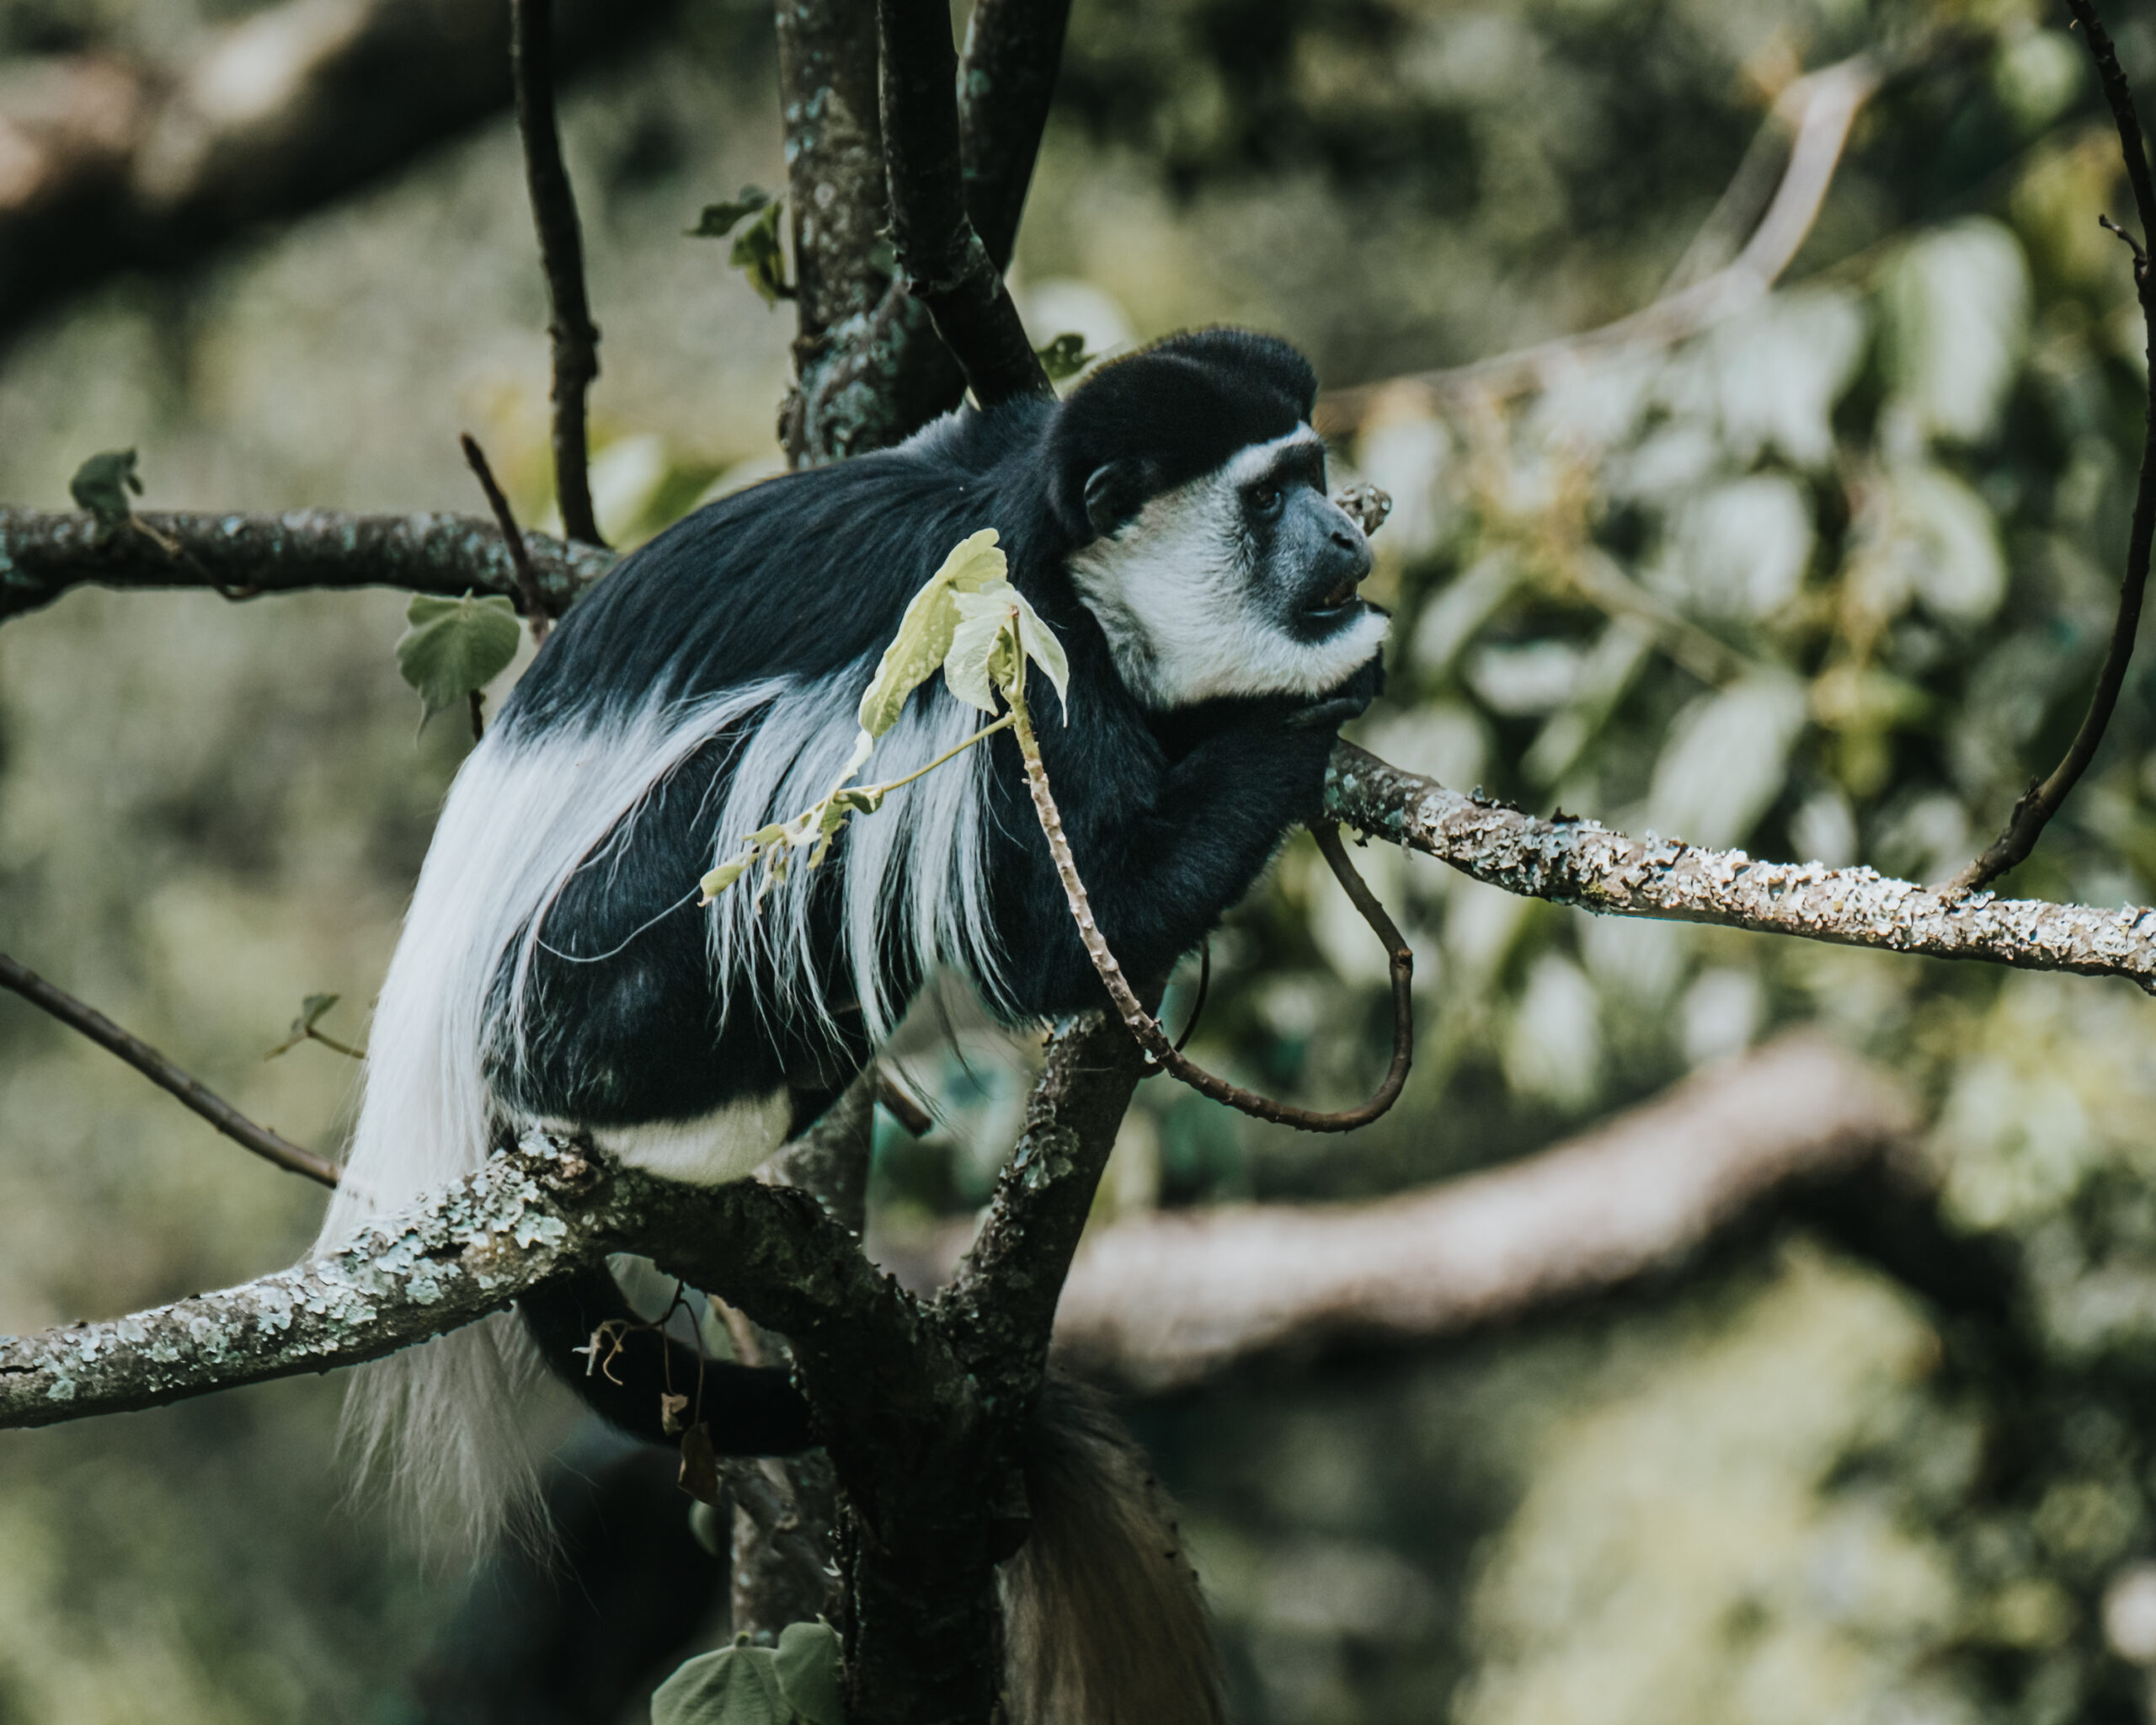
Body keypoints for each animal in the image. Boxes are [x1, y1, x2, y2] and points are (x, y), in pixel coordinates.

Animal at [316, 327, 1386, 1722]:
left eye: (1311, 470)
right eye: (1267, 500)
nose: (1350, 536)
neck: (1047, 540)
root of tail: (452, 1081)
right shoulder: (1011, 647)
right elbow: (1071, 925)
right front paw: (1300, 702)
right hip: (585, 986)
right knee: (775, 831)